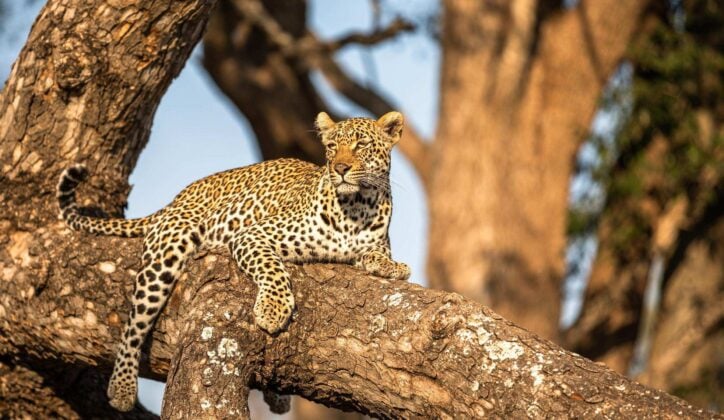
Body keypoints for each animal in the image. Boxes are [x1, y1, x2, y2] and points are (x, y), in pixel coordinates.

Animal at [55, 110, 412, 412]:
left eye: (360, 145)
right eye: (332, 147)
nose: (340, 169)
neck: (357, 207)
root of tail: (176, 200)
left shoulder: (374, 242)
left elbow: (377, 255)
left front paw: (394, 267)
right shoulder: (251, 236)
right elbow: (273, 269)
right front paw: (273, 309)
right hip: (168, 251)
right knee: (134, 324)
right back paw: (122, 386)